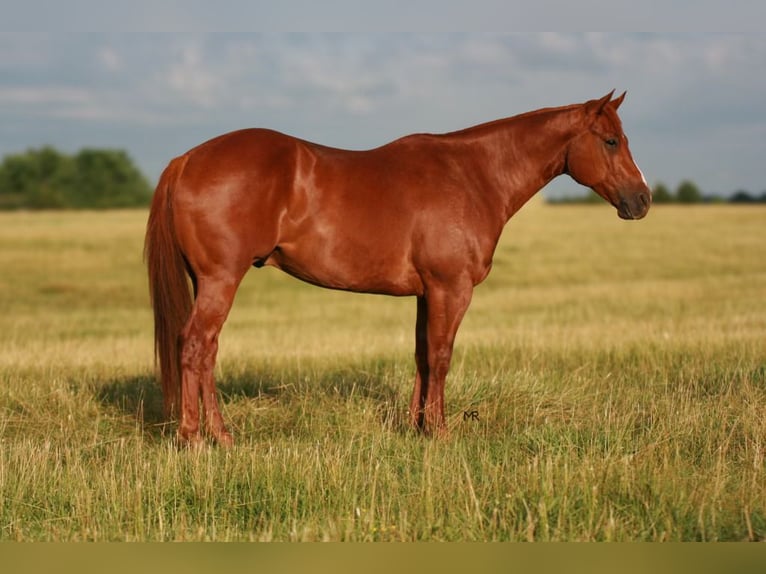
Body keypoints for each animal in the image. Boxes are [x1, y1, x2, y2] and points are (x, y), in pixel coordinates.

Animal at [145, 90, 651, 446]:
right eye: (611, 141)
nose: (642, 200)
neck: (473, 175)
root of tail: (187, 160)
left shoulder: (427, 293)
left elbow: (423, 356)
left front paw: (418, 428)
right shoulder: (451, 288)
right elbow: (442, 356)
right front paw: (441, 433)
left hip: (207, 282)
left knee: (207, 351)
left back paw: (219, 435)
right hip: (221, 280)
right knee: (196, 347)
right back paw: (197, 439)